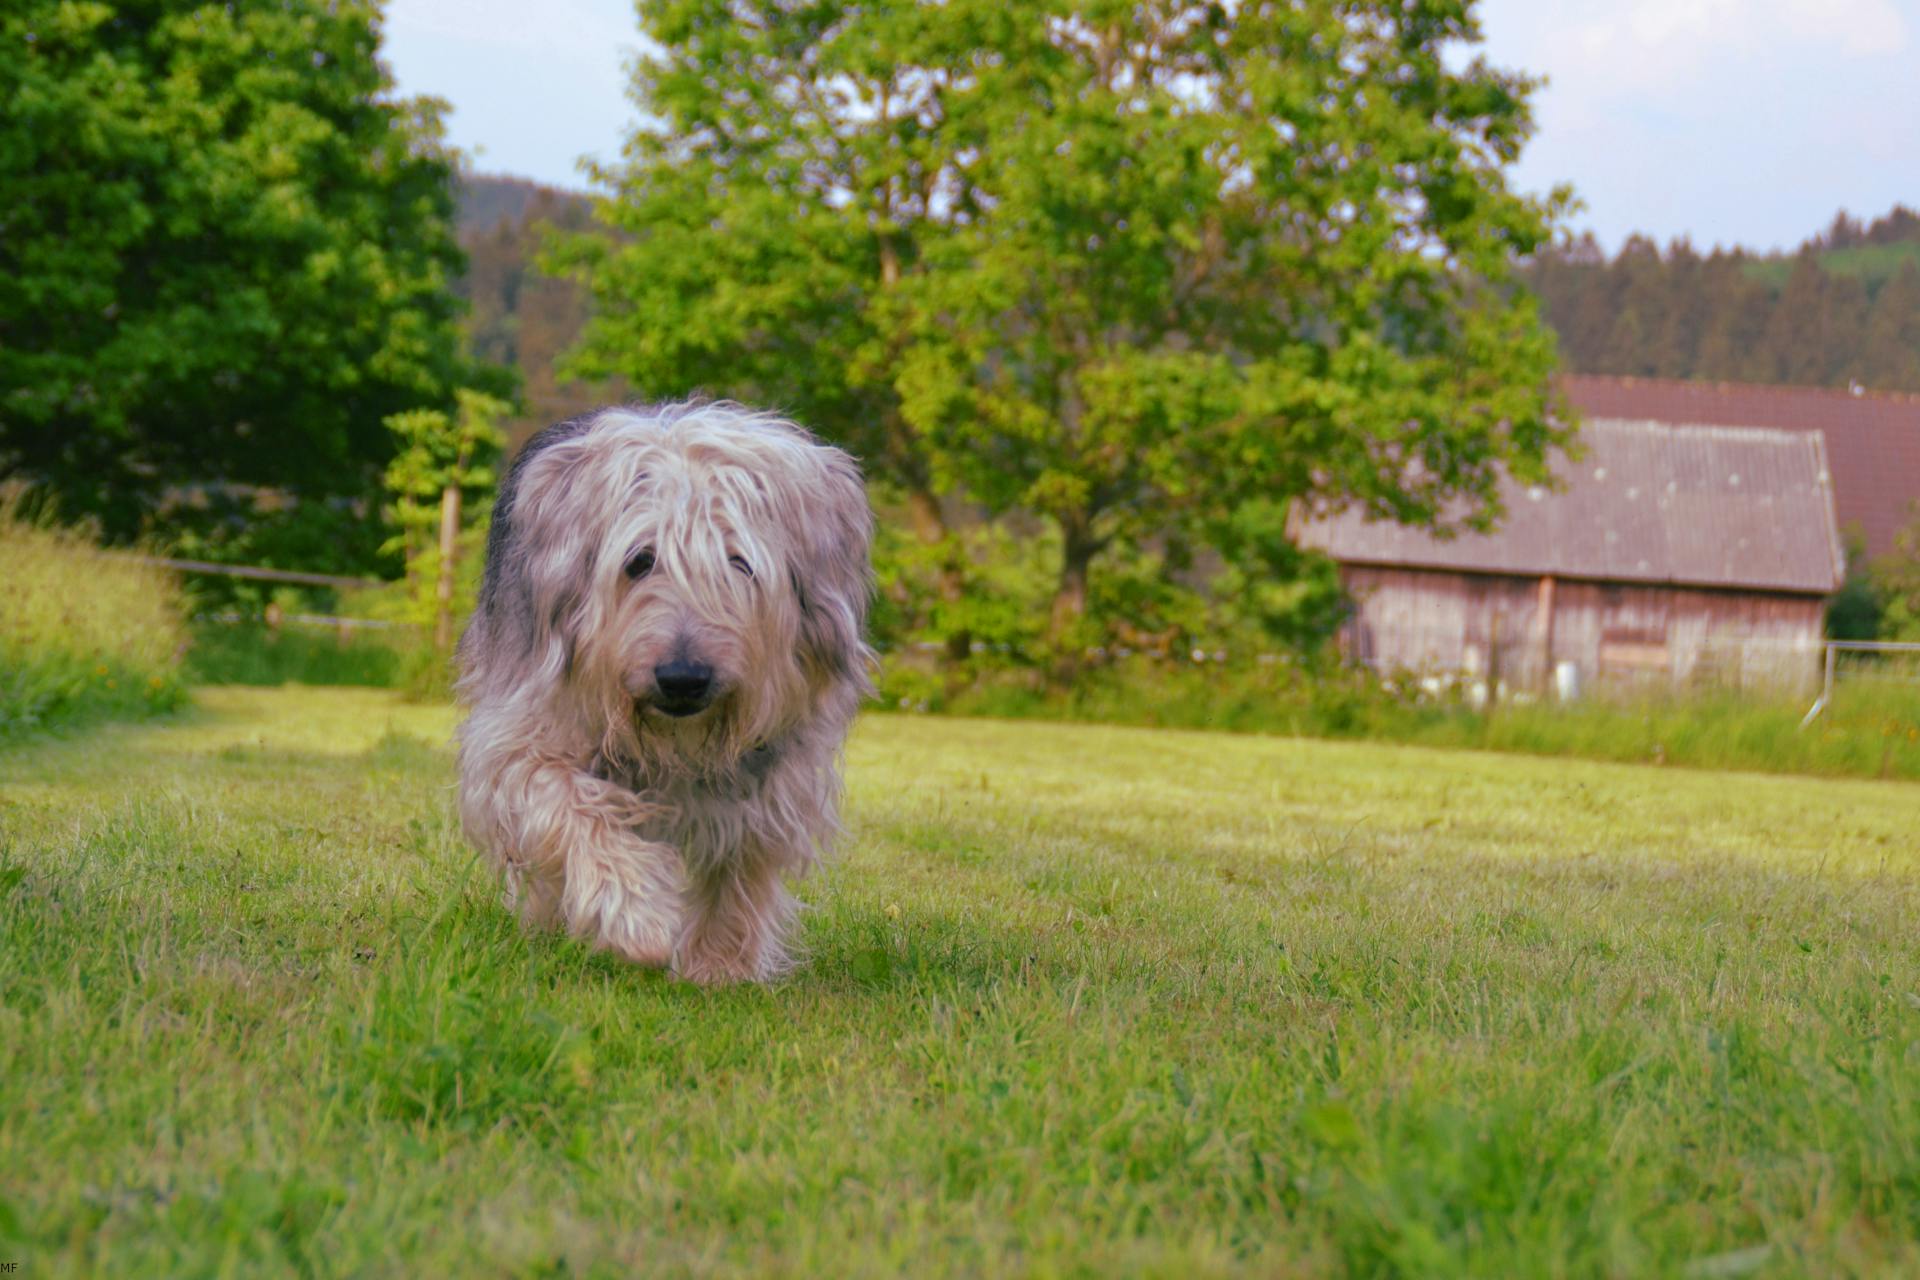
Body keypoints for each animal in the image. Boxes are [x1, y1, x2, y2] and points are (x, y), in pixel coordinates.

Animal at [453, 404, 875, 990]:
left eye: (739, 563)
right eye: (640, 560)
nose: (682, 678)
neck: (674, 740)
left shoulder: (776, 774)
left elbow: (740, 858)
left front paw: (718, 966)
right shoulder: (522, 735)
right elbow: (571, 805)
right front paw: (637, 915)